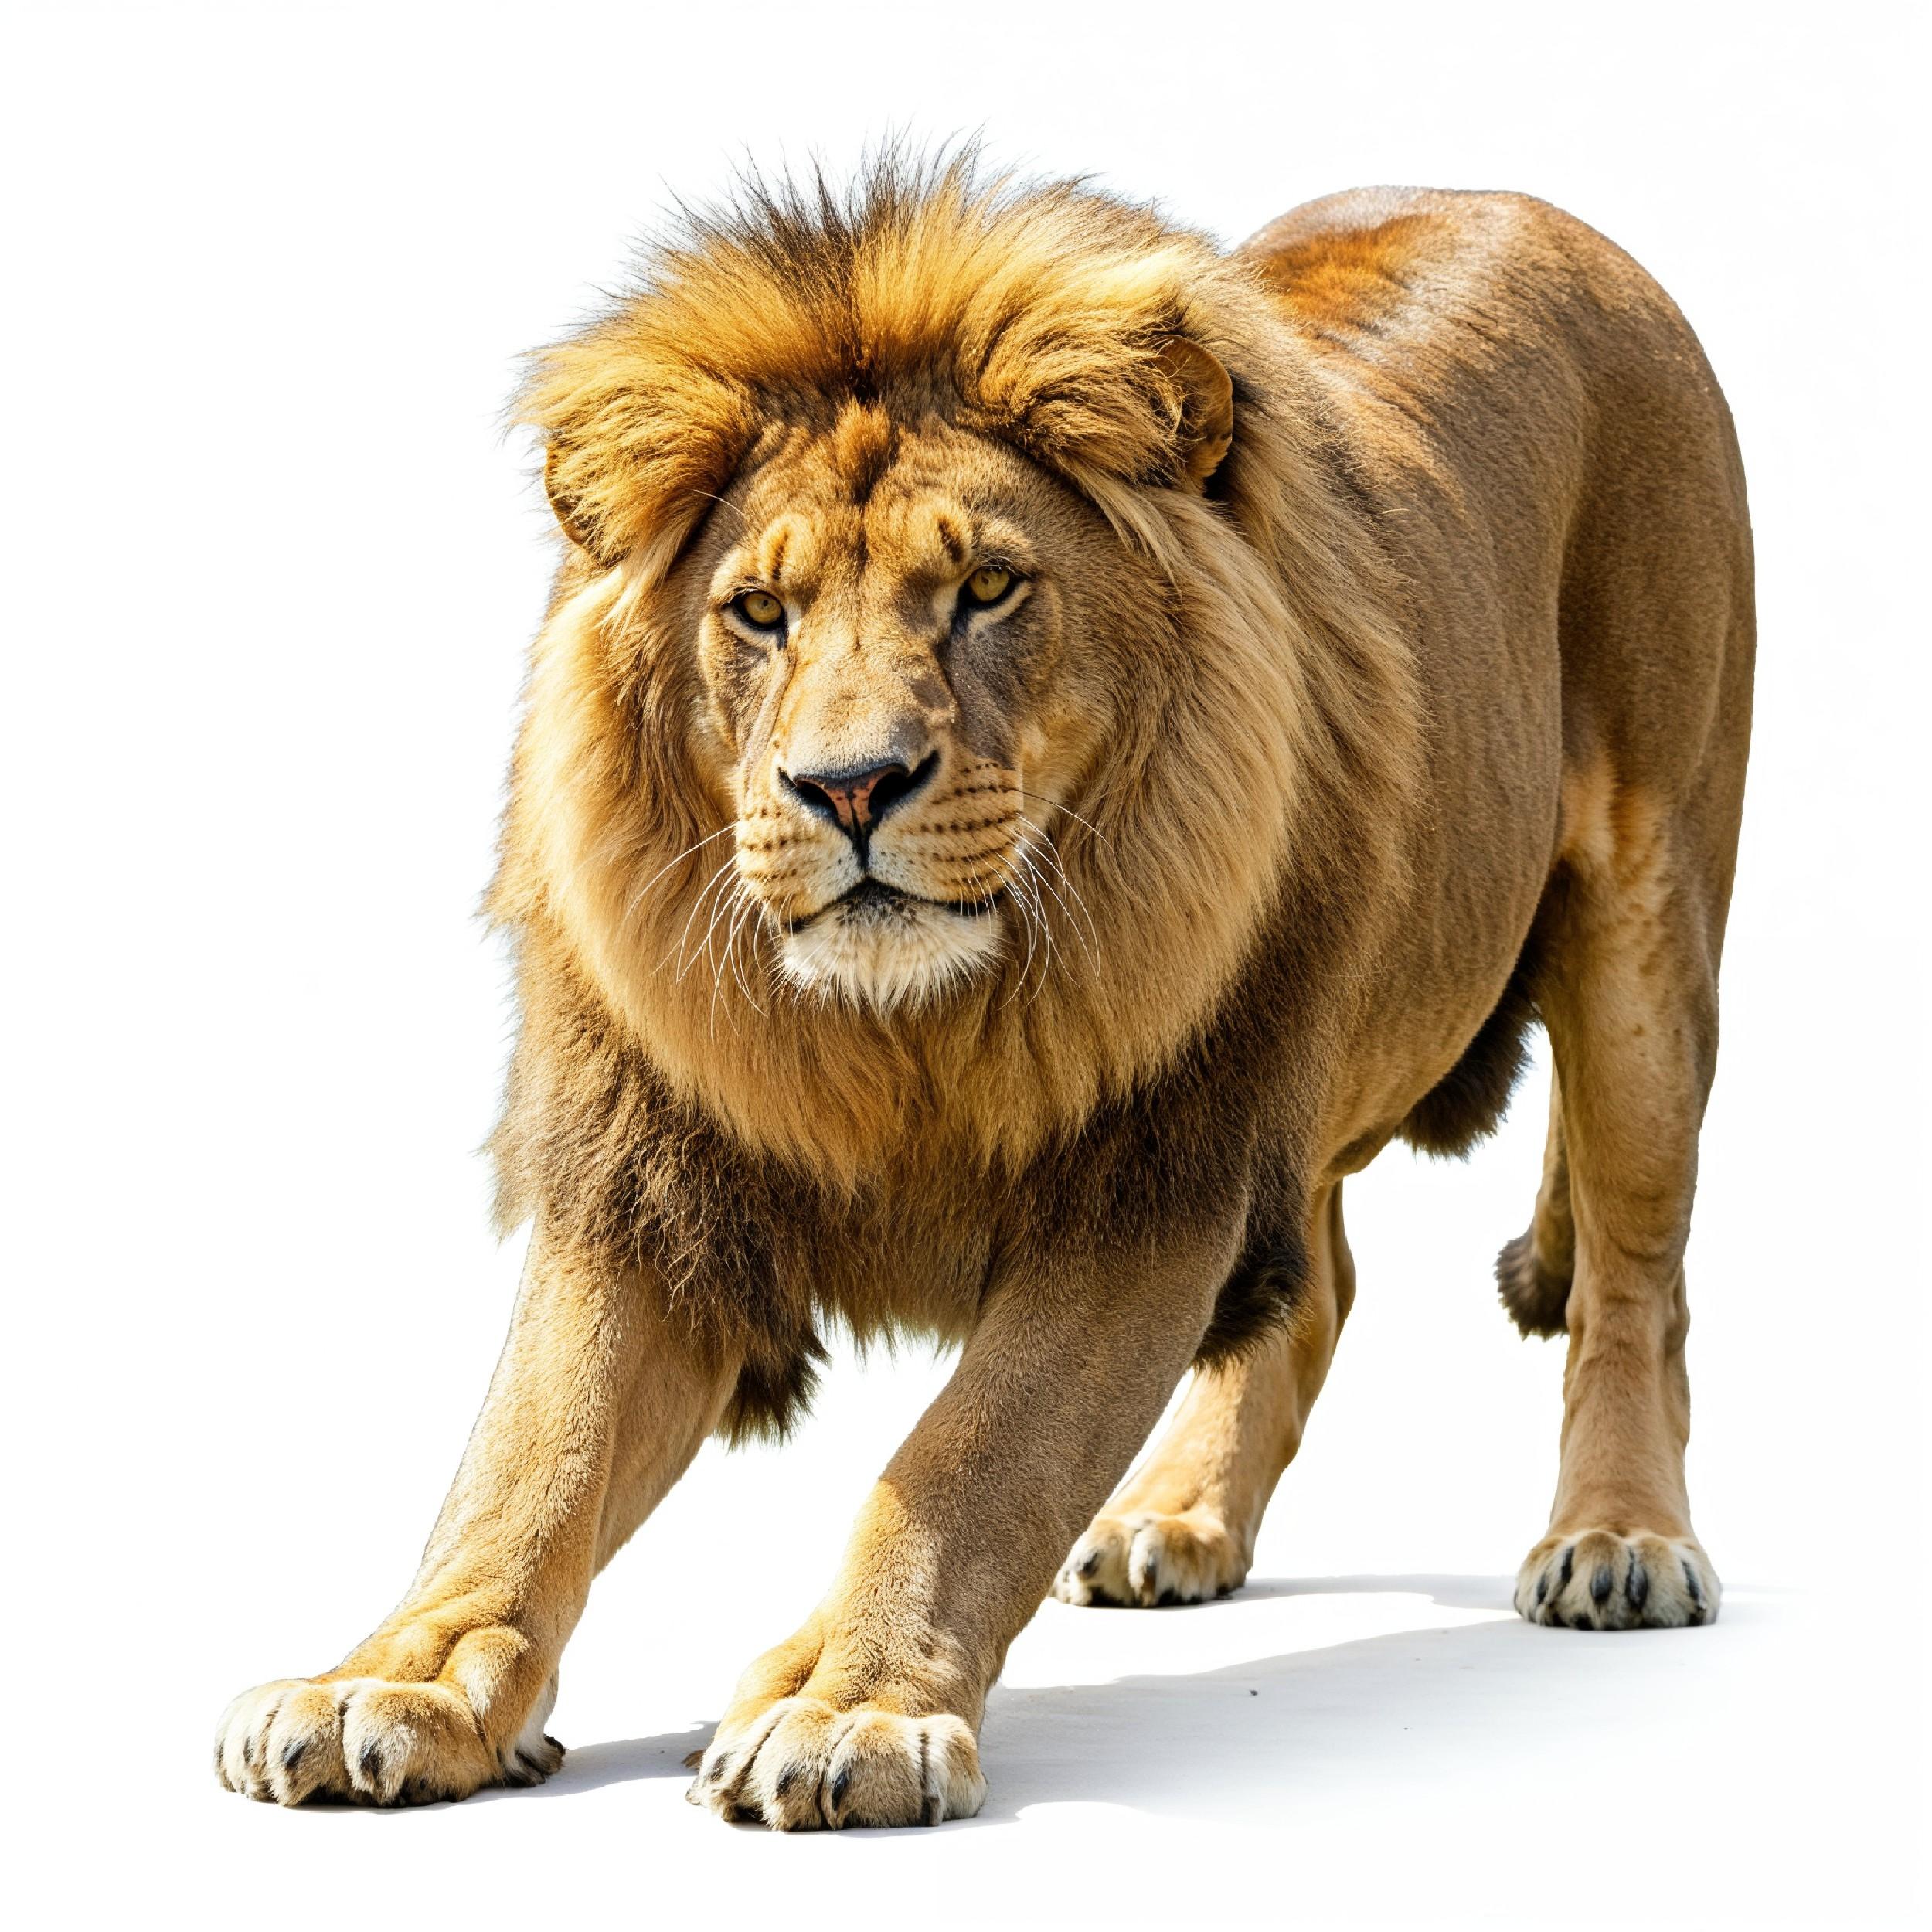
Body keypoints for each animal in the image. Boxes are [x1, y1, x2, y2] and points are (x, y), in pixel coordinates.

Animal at [214, 157, 1753, 1826]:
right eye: (758, 613)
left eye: (989, 589)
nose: (848, 786)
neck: (911, 1029)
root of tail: (1515, 199)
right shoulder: (651, 1180)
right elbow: (527, 1456)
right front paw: (398, 1679)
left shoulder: (1152, 1173)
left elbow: (968, 1458)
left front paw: (845, 1703)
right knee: (1323, 1284)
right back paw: (1175, 1520)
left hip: (1642, 931)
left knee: (1634, 1283)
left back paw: (1617, 1541)